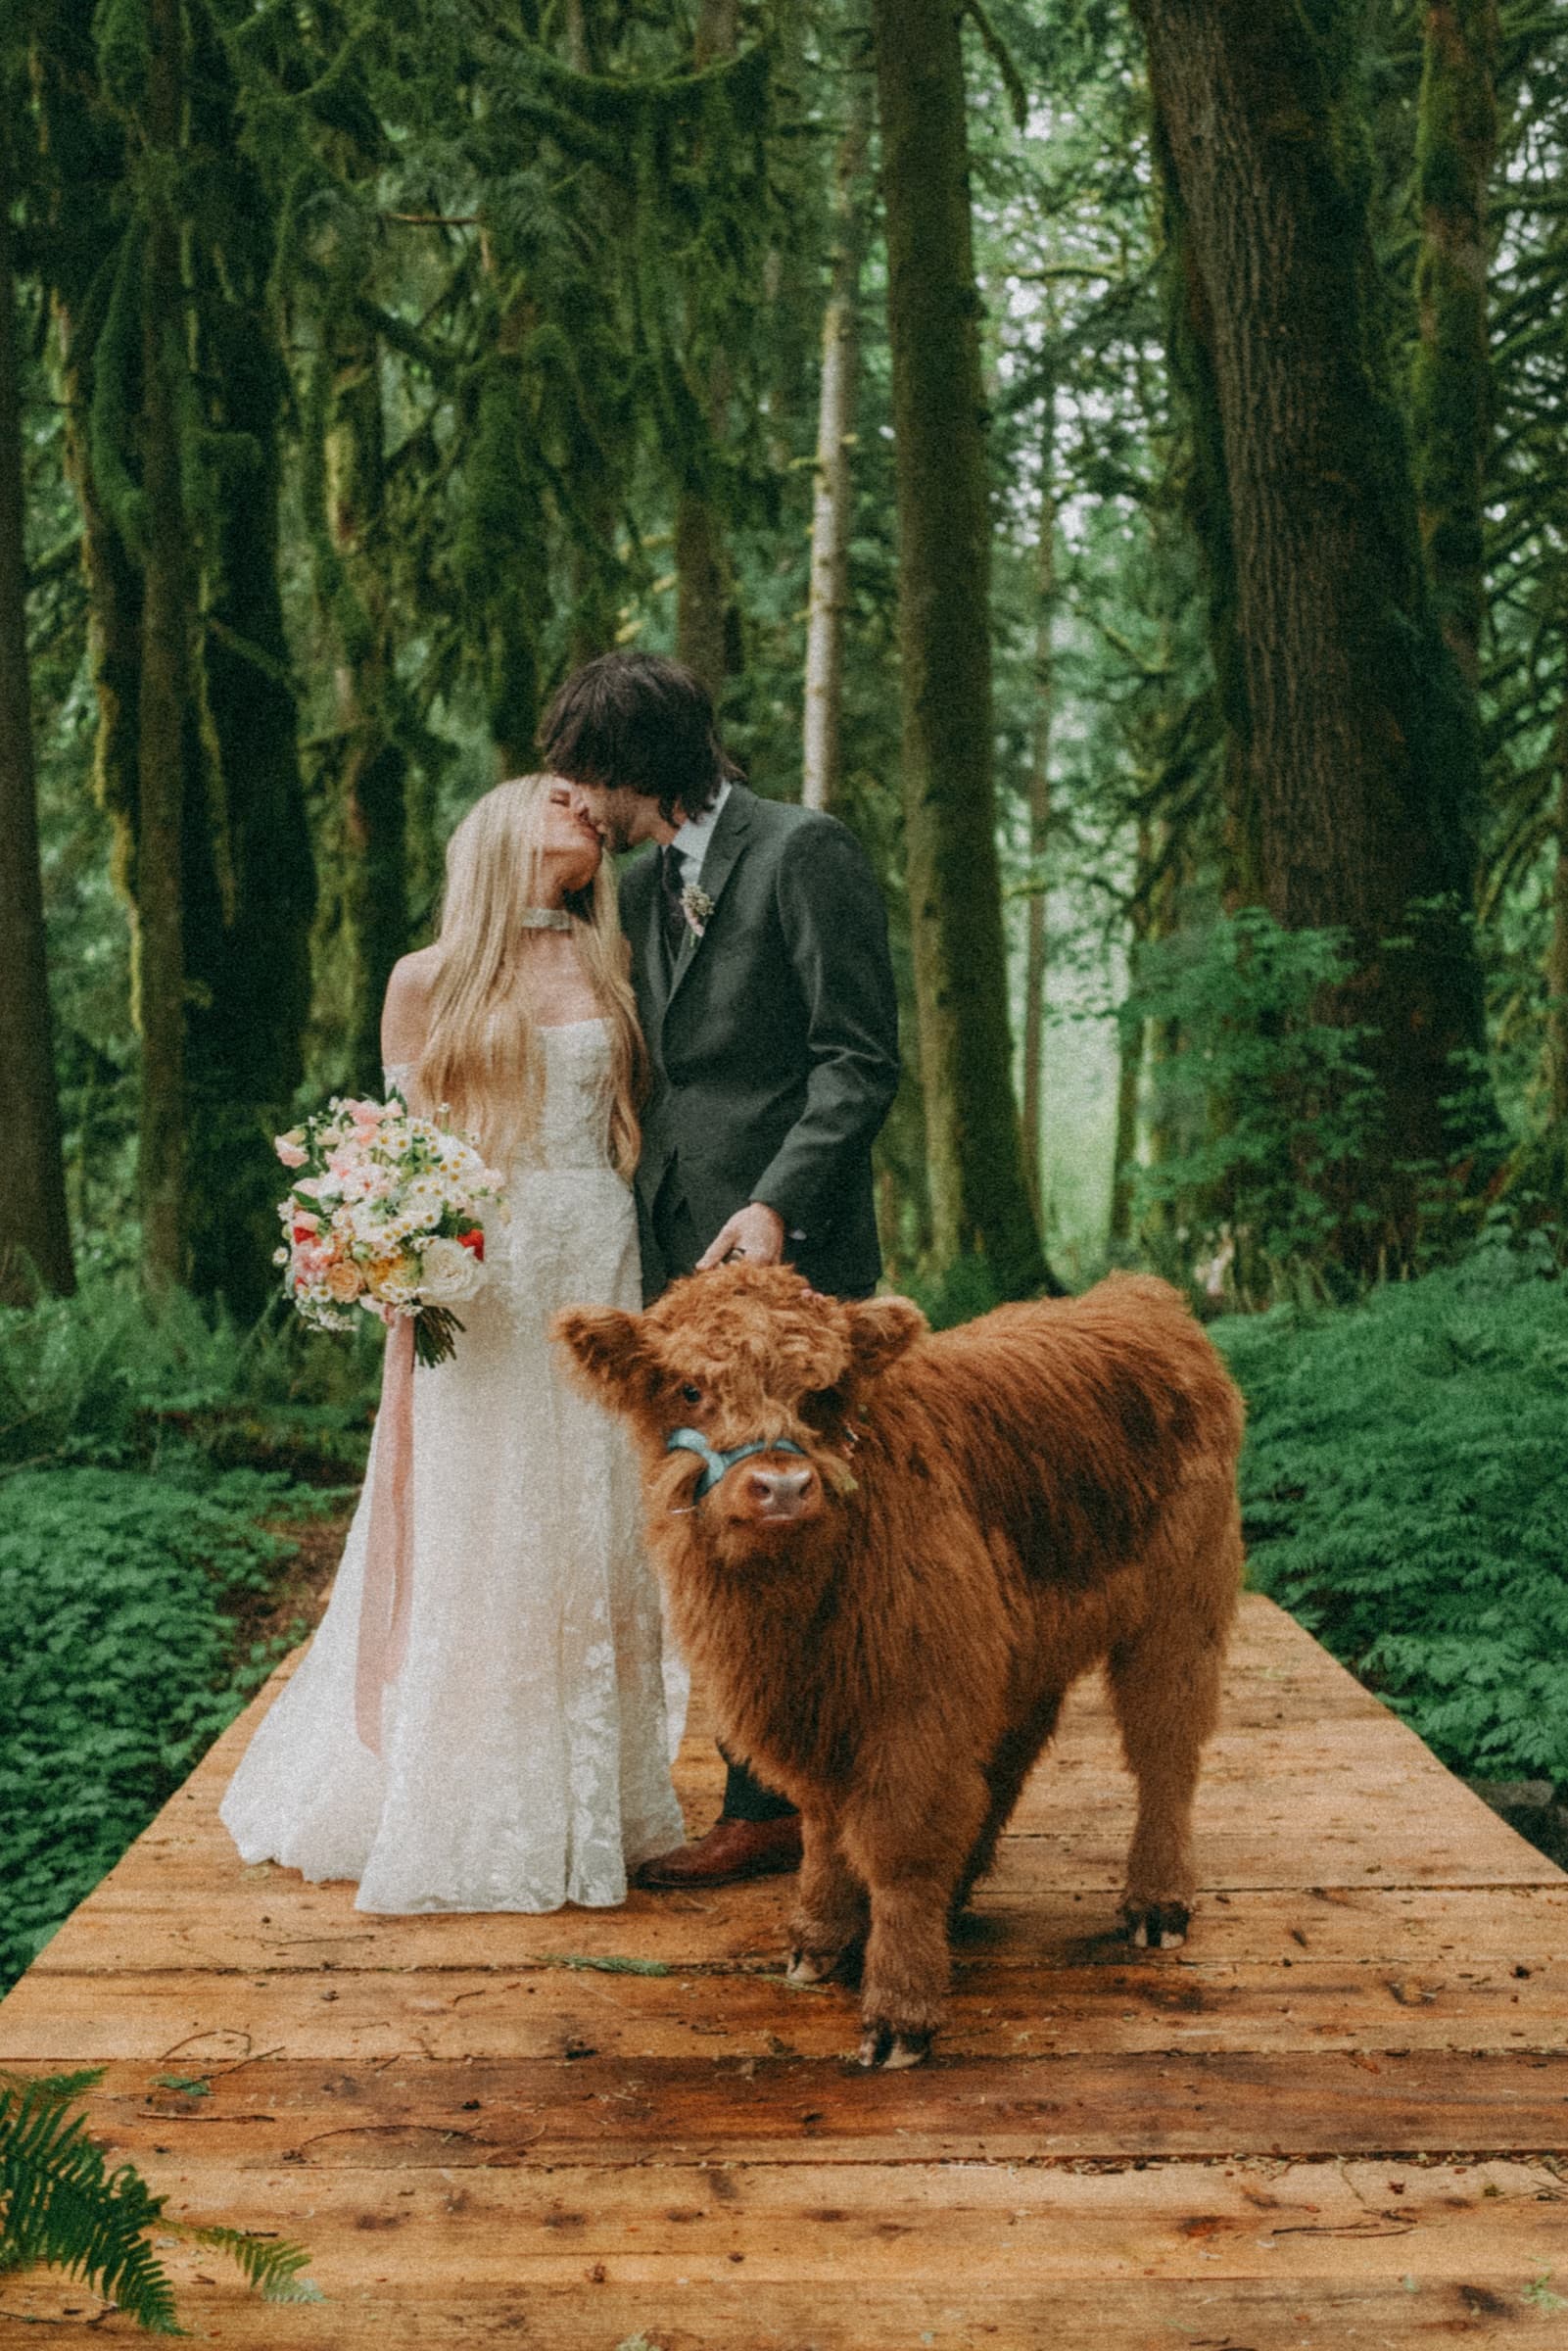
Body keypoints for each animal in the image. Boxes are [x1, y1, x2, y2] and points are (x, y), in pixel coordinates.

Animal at [556, 1264, 1245, 2068]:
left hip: (1180, 1611)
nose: (781, 1487)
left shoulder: (917, 1700)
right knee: (1010, 1755)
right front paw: (819, 1942)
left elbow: (900, 1843)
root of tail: (1138, 1295)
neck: (785, 1618)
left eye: (822, 1393)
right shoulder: (821, 1708)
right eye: (691, 1390)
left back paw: (1157, 1904)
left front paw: (898, 2009)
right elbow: (825, 1826)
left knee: (1165, 1749)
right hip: (1022, 1644)